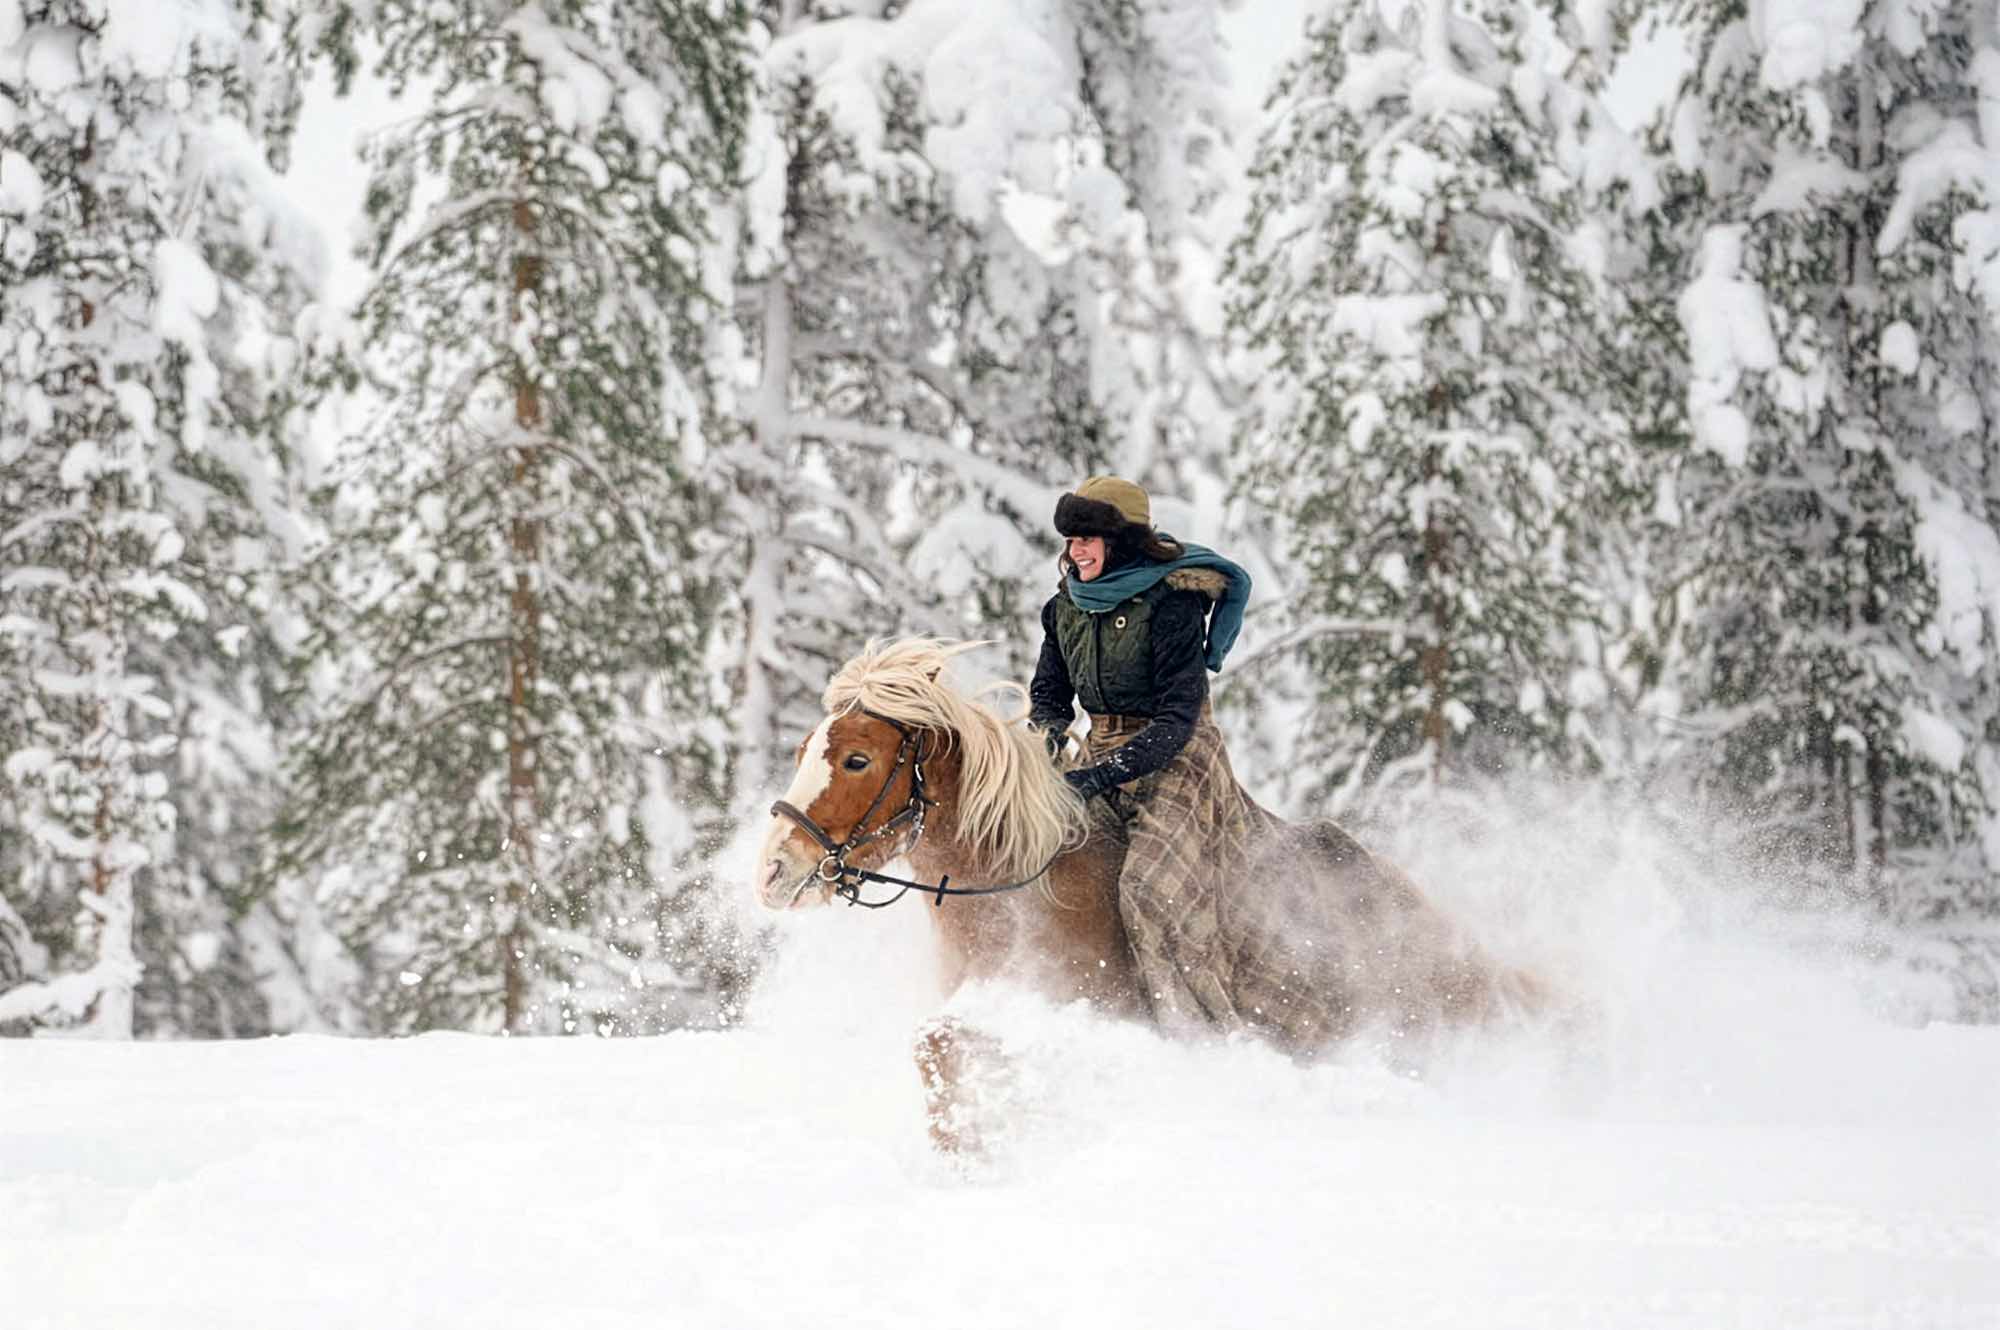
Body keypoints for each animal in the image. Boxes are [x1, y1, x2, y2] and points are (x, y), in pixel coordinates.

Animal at [753, 638, 1544, 1150]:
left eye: (858, 759)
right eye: (802, 751)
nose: (773, 871)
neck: (1016, 895)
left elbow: (951, 1048)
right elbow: (935, 1049)